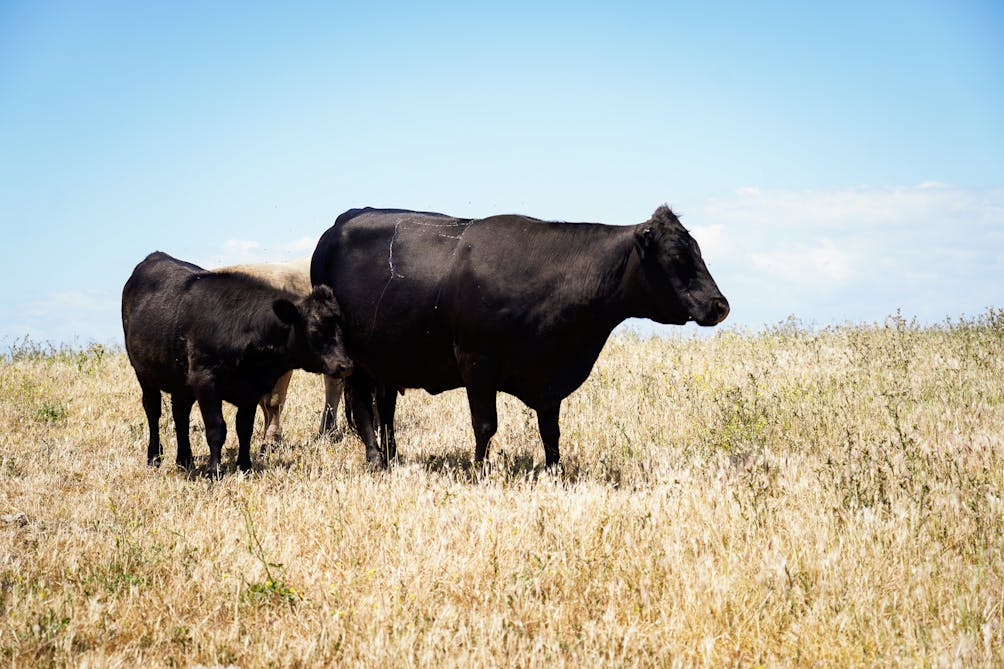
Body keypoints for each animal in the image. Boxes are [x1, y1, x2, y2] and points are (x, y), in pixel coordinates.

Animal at [309, 202, 726, 468]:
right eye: (677, 257)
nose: (720, 305)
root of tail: (340, 224)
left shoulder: (550, 377)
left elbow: (551, 432)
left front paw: (556, 473)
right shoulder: (476, 363)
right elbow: (485, 425)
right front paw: (479, 472)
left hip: (389, 359)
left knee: (386, 409)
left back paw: (393, 457)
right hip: (354, 357)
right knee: (363, 406)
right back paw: (376, 461)